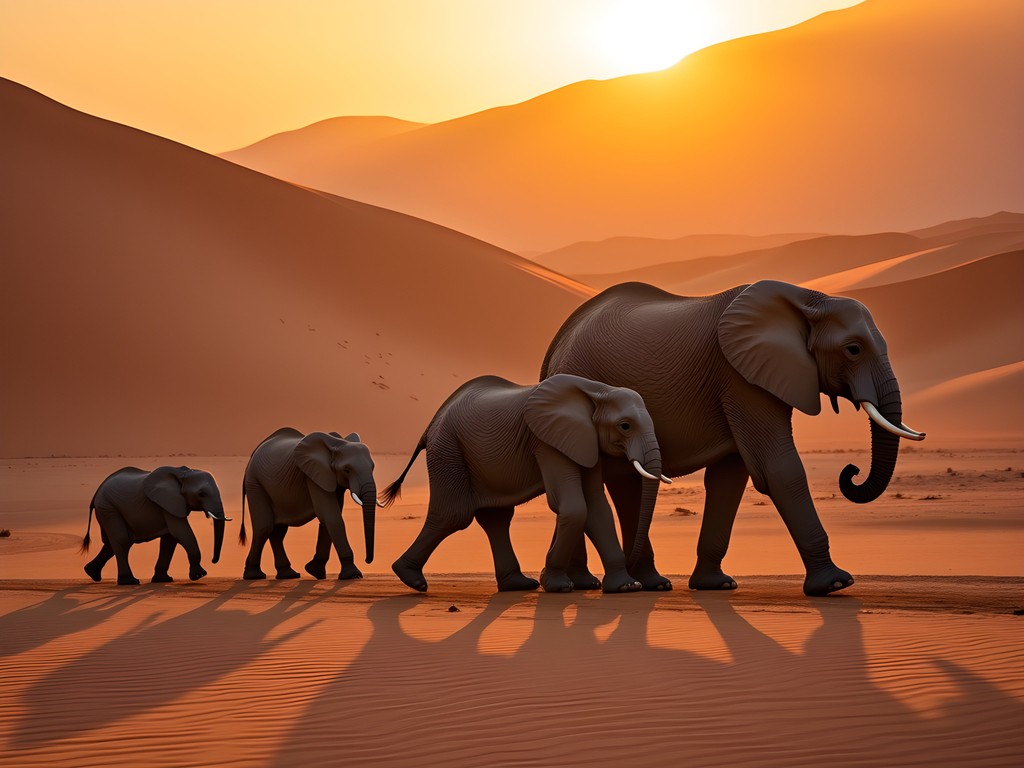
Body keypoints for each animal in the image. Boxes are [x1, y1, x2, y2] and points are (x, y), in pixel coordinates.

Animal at [81, 466, 230, 585]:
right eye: (201, 494)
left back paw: (92, 573)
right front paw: (199, 575)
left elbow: (170, 539)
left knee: (112, 543)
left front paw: (164, 580)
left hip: (107, 509)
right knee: (122, 540)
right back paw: (129, 581)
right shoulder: (168, 502)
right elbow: (181, 533)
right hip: (108, 508)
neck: (183, 473)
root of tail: (97, 491)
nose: (213, 560)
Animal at [240, 427, 378, 581]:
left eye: (373, 467)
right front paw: (353, 575)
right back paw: (254, 576)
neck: (337, 444)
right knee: (264, 527)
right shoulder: (313, 475)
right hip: (255, 483)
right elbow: (331, 517)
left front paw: (315, 571)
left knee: (278, 532)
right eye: (347, 470)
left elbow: (328, 518)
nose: (367, 560)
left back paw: (289, 575)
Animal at [382, 373, 670, 594]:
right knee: (453, 516)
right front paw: (557, 585)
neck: (597, 390)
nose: (634, 569)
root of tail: (431, 424)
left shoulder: (585, 440)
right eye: (625, 426)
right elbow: (573, 505)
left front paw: (626, 587)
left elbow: (597, 506)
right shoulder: (545, 439)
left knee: (495, 518)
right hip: (448, 450)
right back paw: (412, 579)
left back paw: (518, 585)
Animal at [541, 280, 926, 596]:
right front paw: (835, 584)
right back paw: (603, 584)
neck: (808, 299)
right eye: (853, 350)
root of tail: (556, 344)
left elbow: (729, 479)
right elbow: (777, 468)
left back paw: (631, 584)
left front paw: (716, 585)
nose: (851, 472)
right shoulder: (740, 376)